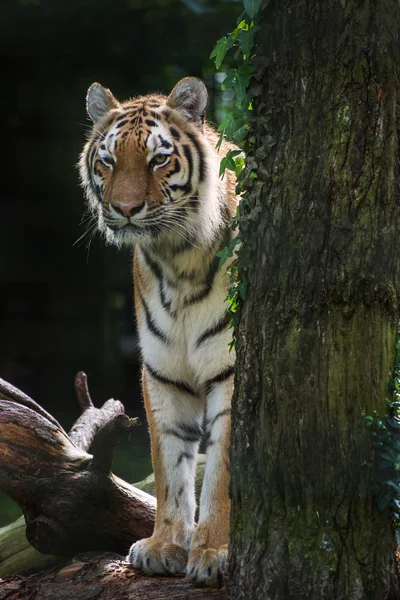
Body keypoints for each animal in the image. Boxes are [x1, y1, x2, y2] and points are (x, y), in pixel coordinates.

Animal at [79, 76, 239, 584]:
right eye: (108, 161)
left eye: (158, 159)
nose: (126, 208)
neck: (176, 256)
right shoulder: (163, 371)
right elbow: (169, 462)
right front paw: (164, 544)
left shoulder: (232, 371)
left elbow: (221, 471)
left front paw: (215, 551)